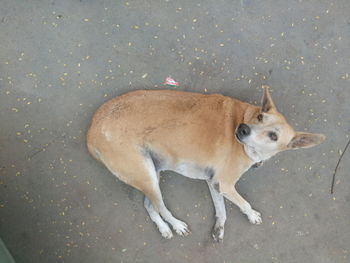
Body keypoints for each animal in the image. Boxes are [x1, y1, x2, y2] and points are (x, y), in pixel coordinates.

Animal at [87, 86, 326, 241]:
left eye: (274, 136)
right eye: (260, 117)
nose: (242, 129)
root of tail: (92, 128)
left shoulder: (215, 182)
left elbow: (222, 209)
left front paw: (219, 228)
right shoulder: (225, 183)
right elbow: (243, 203)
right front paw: (251, 215)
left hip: (151, 172)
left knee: (150, 205)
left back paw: (165, 229)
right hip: (145, 174)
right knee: (160, 207)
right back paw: (177, 226)